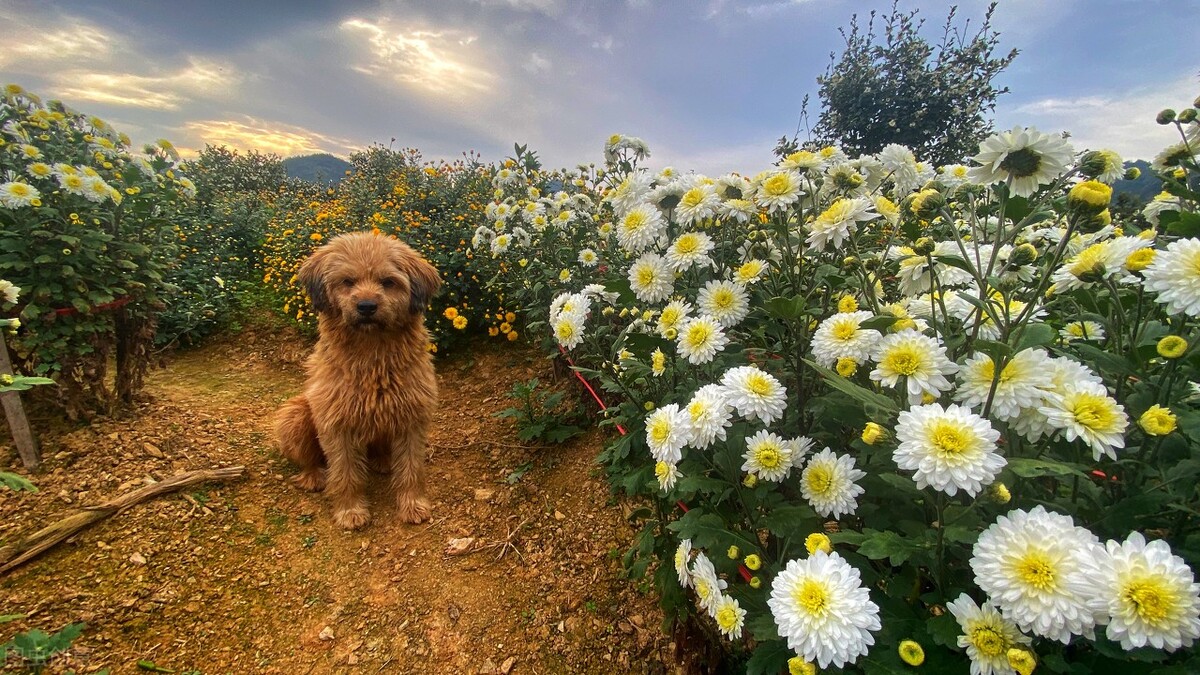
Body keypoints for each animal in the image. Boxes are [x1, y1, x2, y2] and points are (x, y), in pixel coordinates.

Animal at [272, 229, 441, 526]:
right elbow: (345, 473)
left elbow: (411, 469)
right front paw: (350, 510)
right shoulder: (336, 423)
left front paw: (412, 505)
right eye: (347, 281)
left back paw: (383, 461)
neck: (371, 353)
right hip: (295, 414)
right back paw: (313, 476)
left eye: (388, 282)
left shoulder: (412, 417)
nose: (366, 306)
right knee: (311, 460)